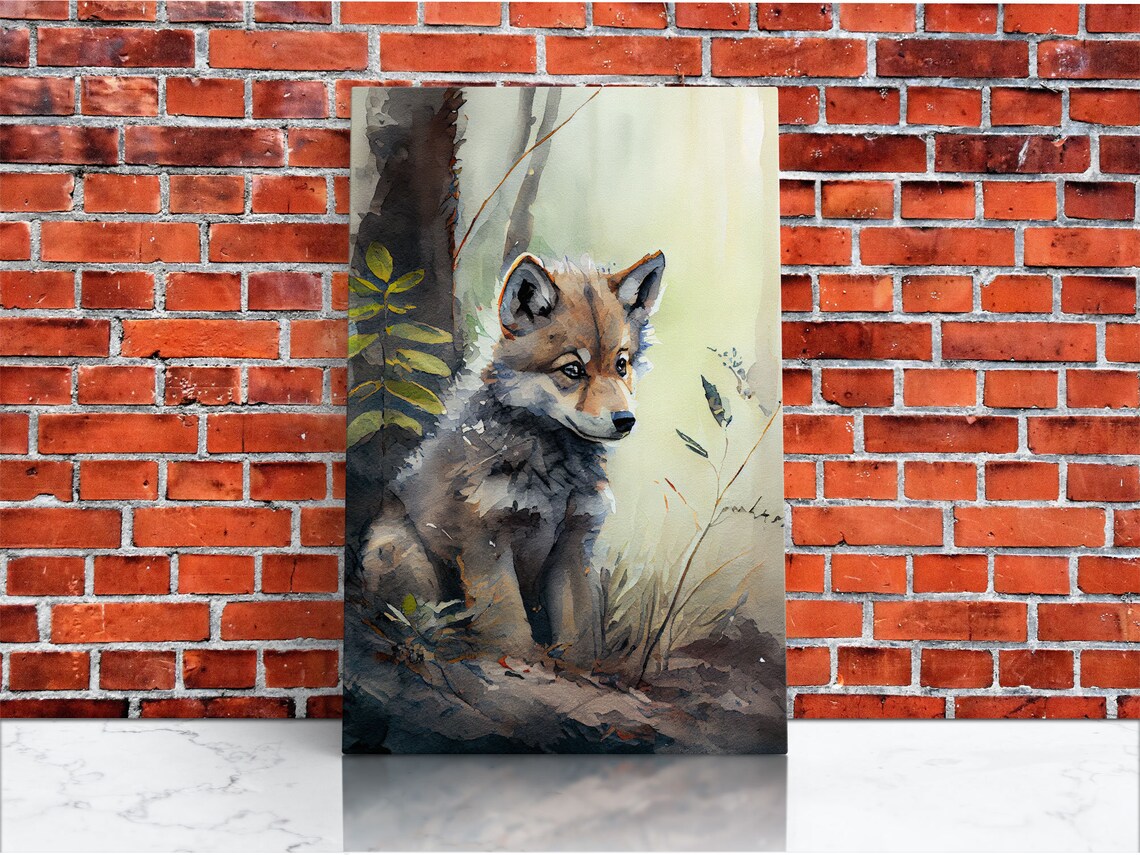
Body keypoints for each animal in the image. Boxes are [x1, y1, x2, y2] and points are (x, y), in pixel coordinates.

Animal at [361, 250, 666, 666]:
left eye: (621, 365)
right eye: (572, 369)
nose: (625, 421)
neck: (554, 477)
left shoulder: (573, 545)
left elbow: (580, 632)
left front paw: (576, 666)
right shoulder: (485, 542)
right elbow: (508, 628)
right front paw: (518, 661)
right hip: (401, 555)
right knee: (417, 622)